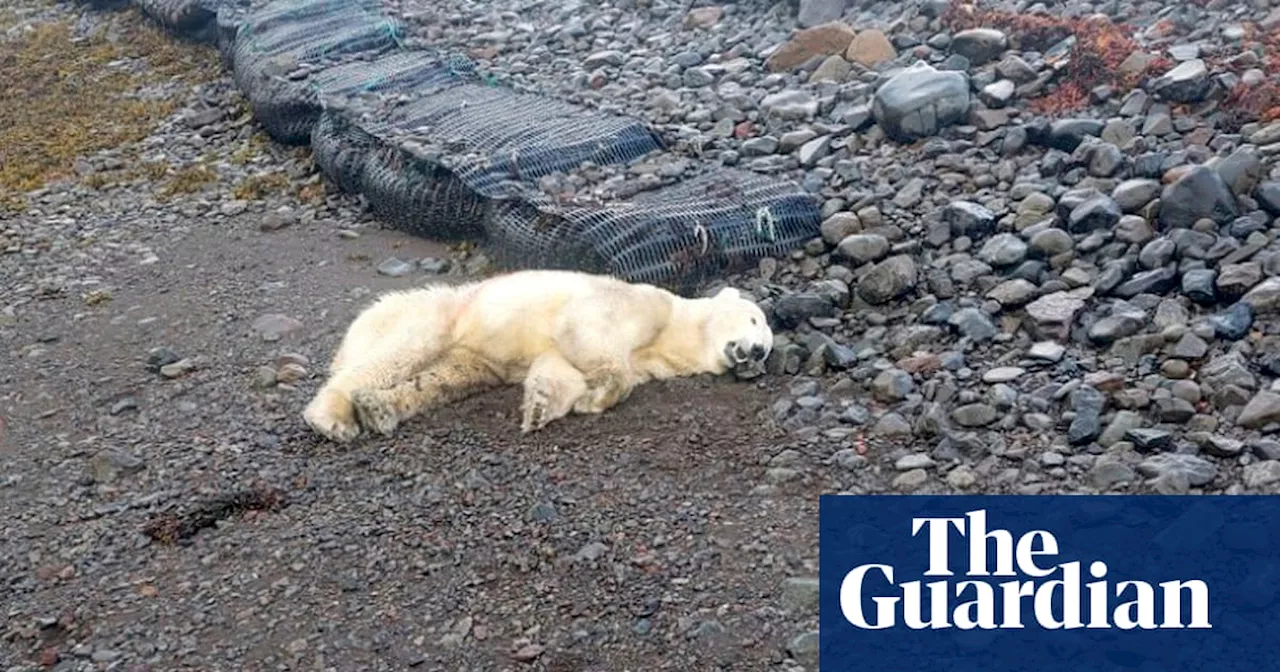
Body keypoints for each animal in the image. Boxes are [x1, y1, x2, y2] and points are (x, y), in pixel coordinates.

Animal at [302, 267, 768, 440]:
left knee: (443, 379)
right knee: (398, 354)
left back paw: (378, 410)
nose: (759, 352)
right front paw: (598, 394)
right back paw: (332, 418)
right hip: (438, 315)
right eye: (754, 320)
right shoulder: (641, 304)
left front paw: (543, 406)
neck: (675, 331)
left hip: (469, 356)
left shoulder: (648, 359)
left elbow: (558, 366)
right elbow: (588, 332)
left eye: (766, 343)